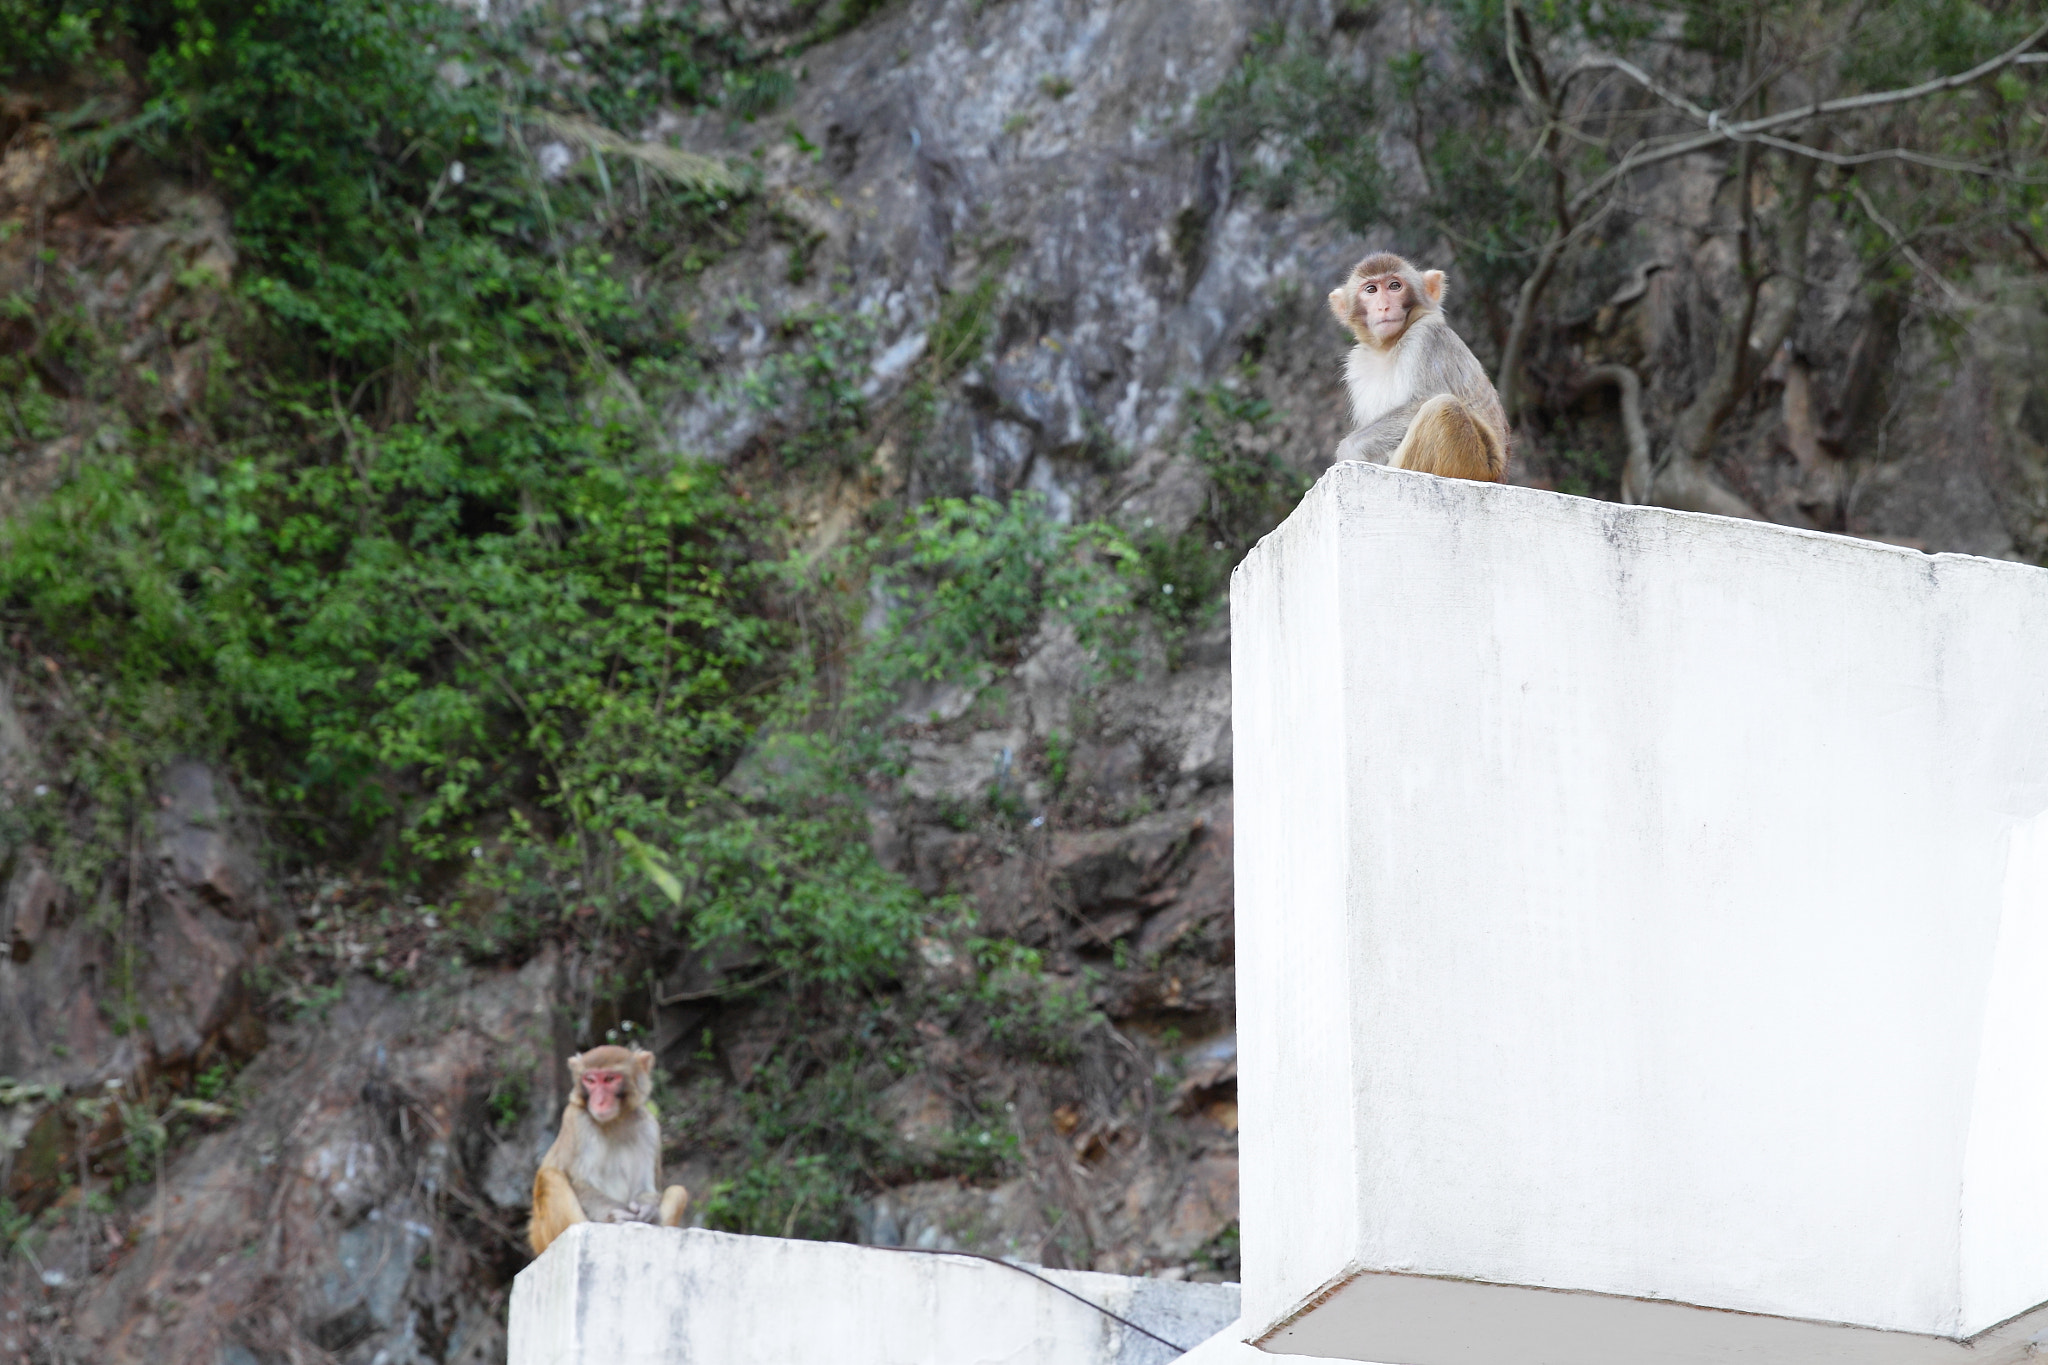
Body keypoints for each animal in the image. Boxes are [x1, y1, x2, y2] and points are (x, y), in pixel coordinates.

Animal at [528, 1044, 691, 1256]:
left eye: (609, 1079)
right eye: (590, 1080)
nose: (599, 1101)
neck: (614, 1121)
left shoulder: (649, 1126)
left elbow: (645, 1187)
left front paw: (647, 1209)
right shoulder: (577, 1120)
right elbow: (581, 1183)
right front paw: (618, 1213)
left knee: (678, 1192)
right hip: (543, 1236)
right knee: (549, 1177)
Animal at [1327, 253, 1510, 482]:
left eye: (1395, 286)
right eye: (1371, 290)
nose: (1383, 307)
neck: (1389, 347)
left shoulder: (1425, 336)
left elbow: (1423, 400)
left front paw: (1348, 450)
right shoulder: (1357, 363)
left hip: (1474, 465)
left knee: (1442, 407)